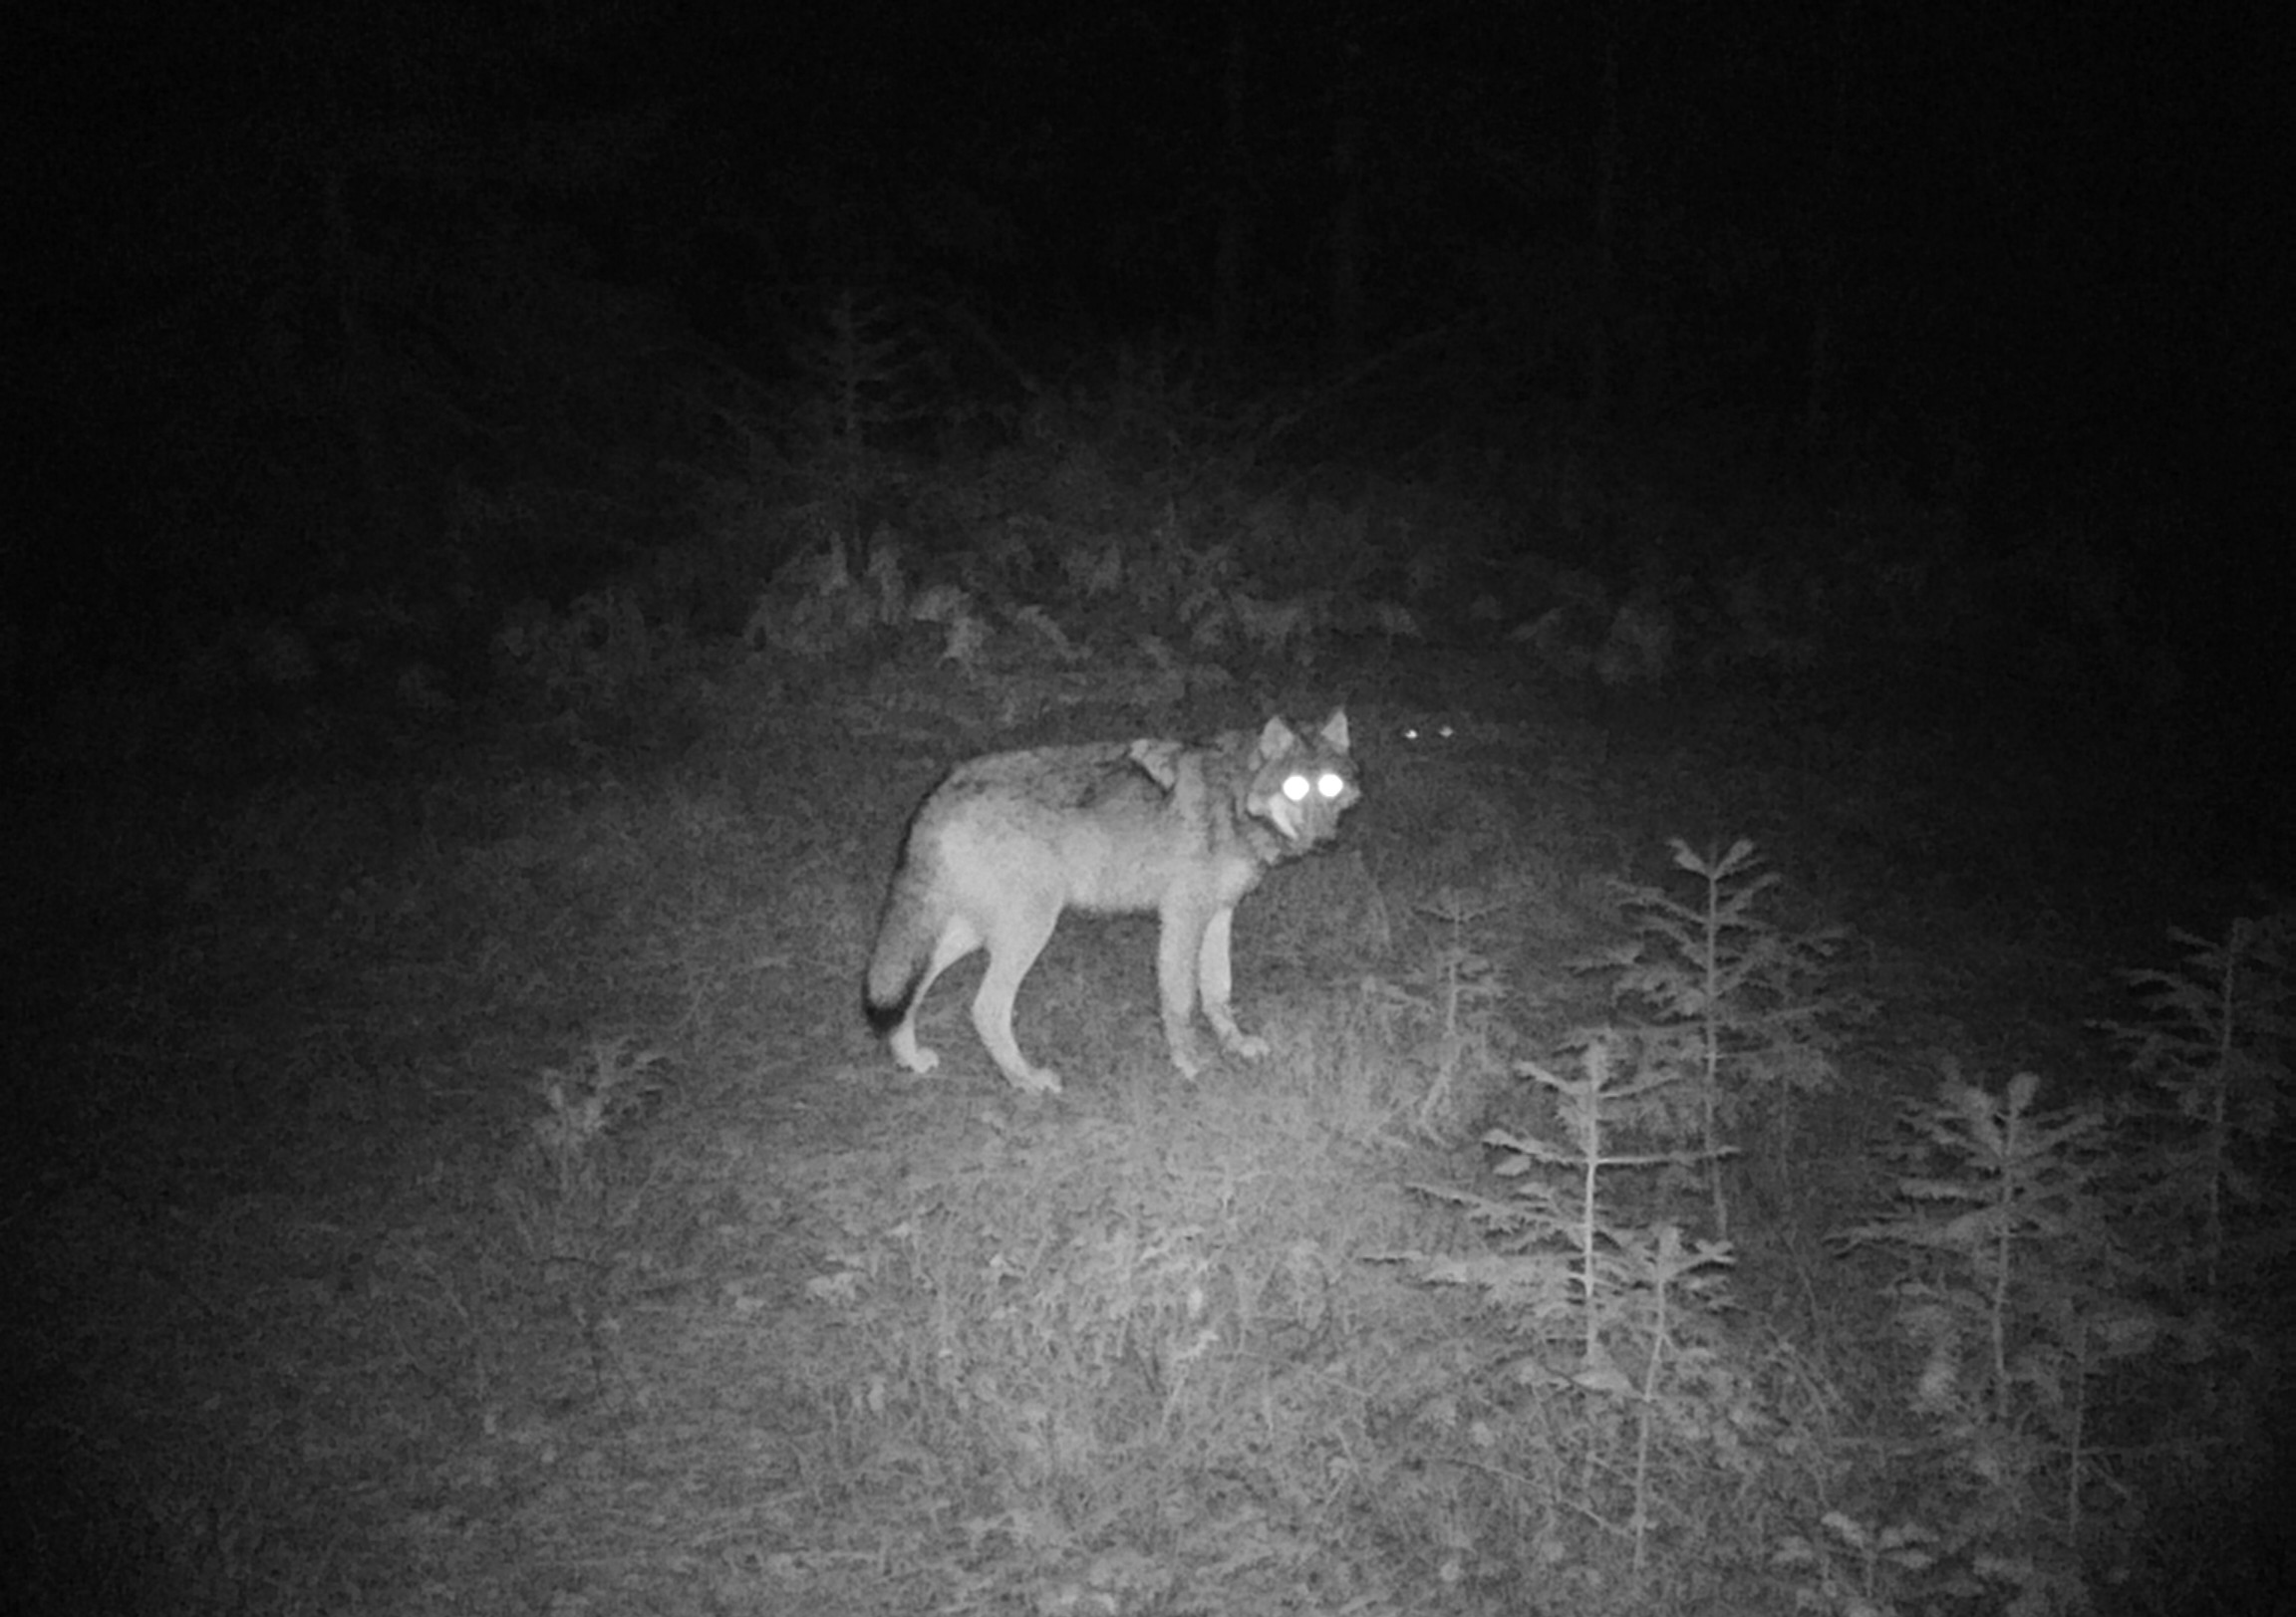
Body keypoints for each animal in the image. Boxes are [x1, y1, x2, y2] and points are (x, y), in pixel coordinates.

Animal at [867, 711, 1349, 1093]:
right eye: (1294, 787)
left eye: (1329, 785)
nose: (1328, 841)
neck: (1233, 797)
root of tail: (946, 784)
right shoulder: (1182, 918)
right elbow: (1181, 1002)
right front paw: (1191, 1064)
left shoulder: (1219, 914)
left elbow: (1218, 992)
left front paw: (1237, 1044)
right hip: (1028, 929)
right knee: (984, 1009)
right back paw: (1025, 1080)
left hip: (976, 931)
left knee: (911, 987)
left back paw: (910, 1058)